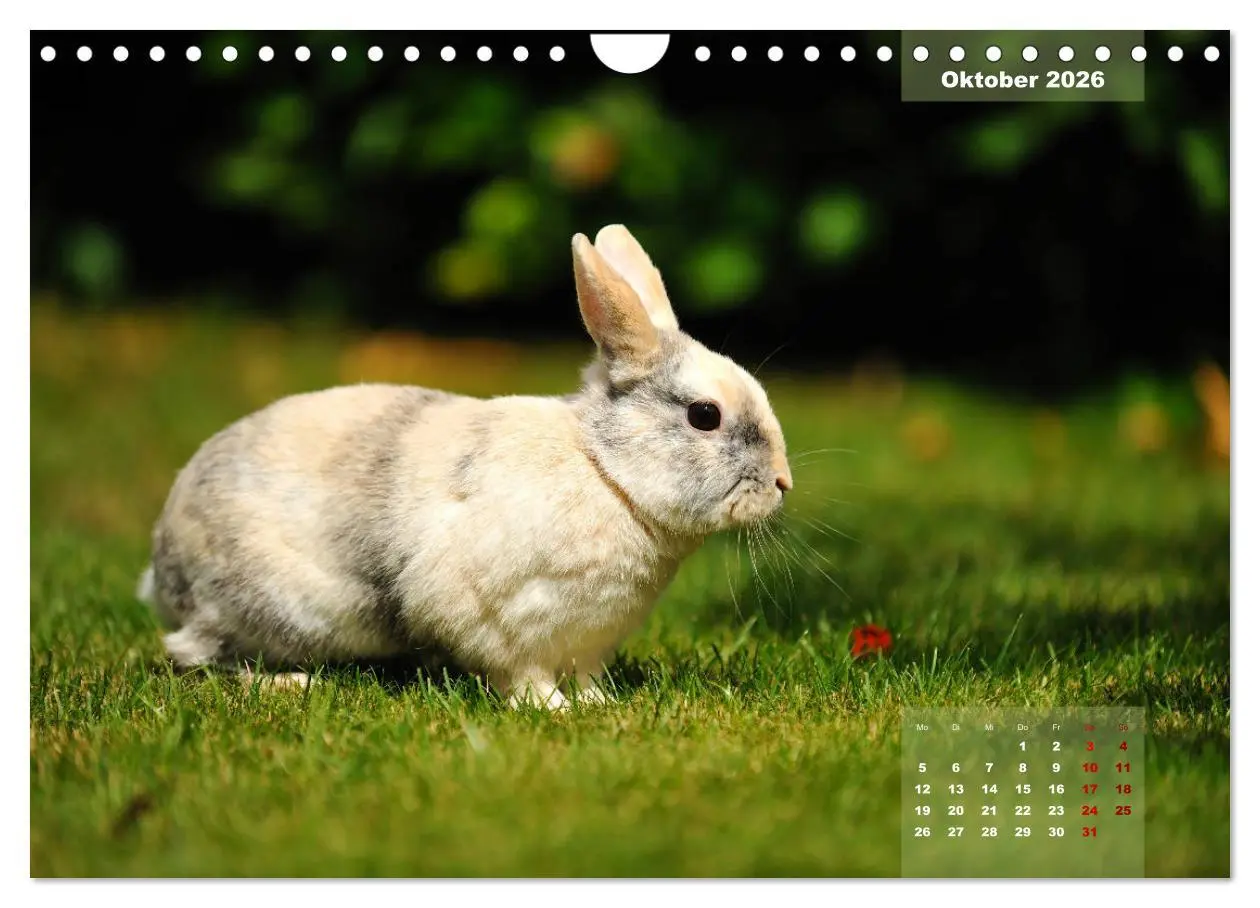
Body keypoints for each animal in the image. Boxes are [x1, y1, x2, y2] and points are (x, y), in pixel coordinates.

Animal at [137, 225, 793, 709]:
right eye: (704, 416)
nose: (784, 484)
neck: (605, 472)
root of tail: (164, 560)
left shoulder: (587, 641)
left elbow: (584, 675)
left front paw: (598, 706)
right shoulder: (501, 622)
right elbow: (523, 675)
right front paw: (554, 711)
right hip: (262, 610)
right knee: (192, 653)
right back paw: (286, 683)